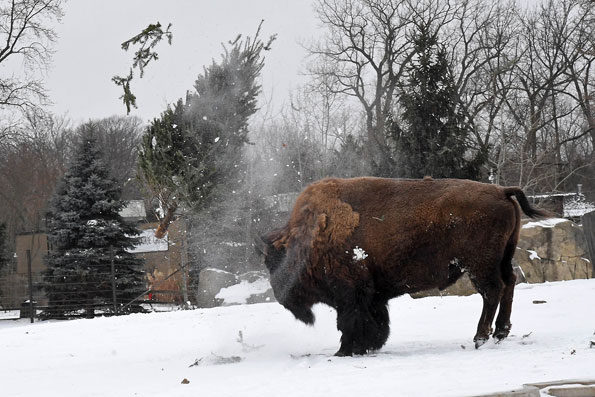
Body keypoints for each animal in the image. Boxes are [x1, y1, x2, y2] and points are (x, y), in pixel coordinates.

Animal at [258, 177, 552, 356]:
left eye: (273, 261)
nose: (280, 294)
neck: (310, 235)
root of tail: (501, 191)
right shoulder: (374, 296)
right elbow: (377, 321)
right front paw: (369, 346)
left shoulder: (352, 294)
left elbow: (350, 322)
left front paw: (345, 351)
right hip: (501, 258)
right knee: (509, 284)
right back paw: (501, 332)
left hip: (479, 265)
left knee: (492, 291)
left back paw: (480, 337)